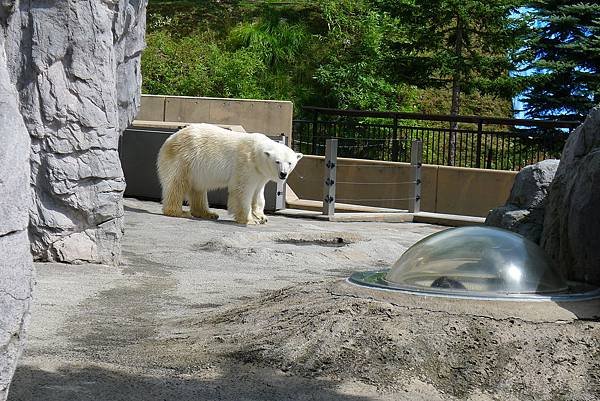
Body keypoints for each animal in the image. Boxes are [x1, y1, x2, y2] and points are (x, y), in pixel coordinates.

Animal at [157, 122, 302, 223]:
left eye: (290, 162)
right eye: (277, 161)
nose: (283, 174)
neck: (256, 154)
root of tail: (169, 140)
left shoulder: (260, 174)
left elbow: (258, 194)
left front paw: (262, 217)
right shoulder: (246, 164)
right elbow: (242, 190)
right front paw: (250, 220)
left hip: (196, 169)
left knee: (198, 189)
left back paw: (208, 213)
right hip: (184, 159)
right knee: (177, 184)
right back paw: (178, 212)